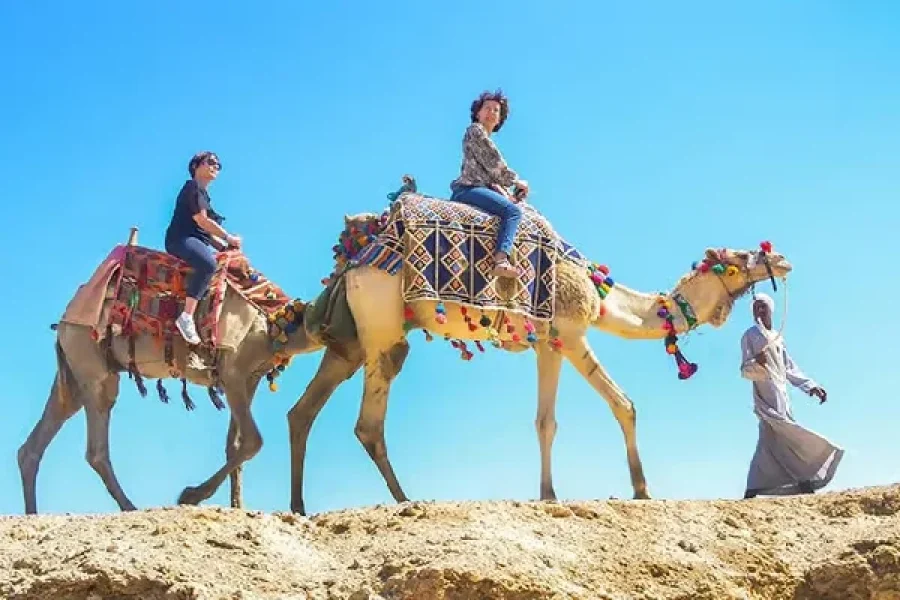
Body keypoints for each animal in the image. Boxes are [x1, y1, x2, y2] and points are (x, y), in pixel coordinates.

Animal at [17, 229, 334, 514]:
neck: (272, 321)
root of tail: (65, 320)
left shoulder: (249, 377)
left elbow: (235, 444)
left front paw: (237, 506)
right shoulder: (233, 369)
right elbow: (253, 440)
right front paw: (190, 495)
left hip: (75, 369)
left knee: (40, 437)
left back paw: (33, 513)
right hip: (91, 360)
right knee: (96, 446)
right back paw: (129, 506)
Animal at [285, 200, 791, 514]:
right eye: (739, 258)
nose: (781, 258)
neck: (600, 291)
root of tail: (353, 260)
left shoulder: (548, 343)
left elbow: (546, 421)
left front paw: (548, 494)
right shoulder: (570, 332)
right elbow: (622, 404)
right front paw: (642, 489)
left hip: (355, 337)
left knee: (304, 410)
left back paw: (300, 506)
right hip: (383, 325)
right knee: (368, 421)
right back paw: (405, 499)